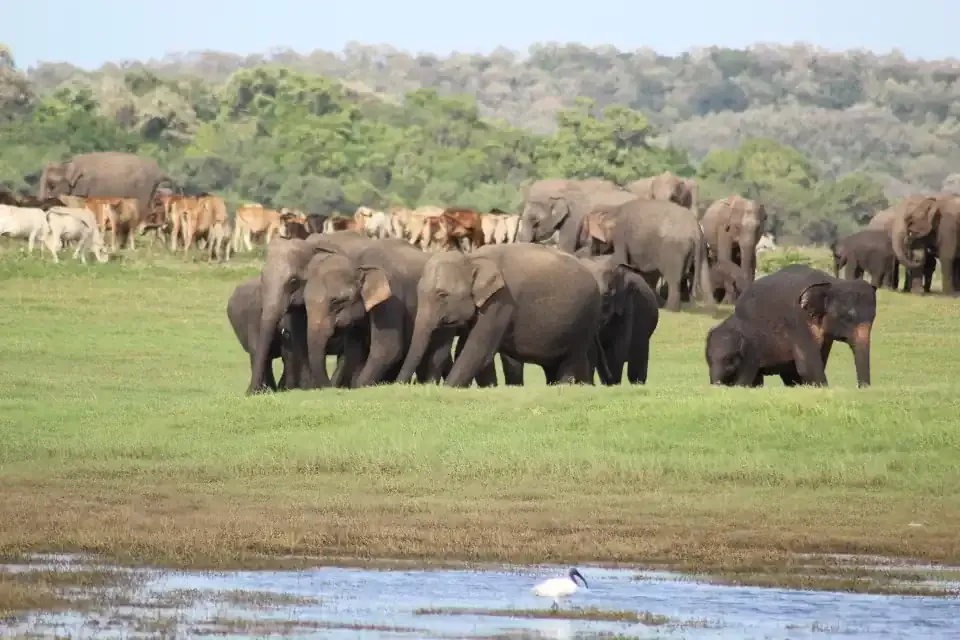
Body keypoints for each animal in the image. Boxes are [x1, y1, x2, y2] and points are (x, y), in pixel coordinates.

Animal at [38, 152, 173, 225]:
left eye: (52, 185)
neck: (68, 163)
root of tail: (159, 171)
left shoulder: (87, 185)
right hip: (151, 188)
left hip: (144, 186)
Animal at [300, 235, 452, 389]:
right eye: (305, 302)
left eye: (337, 301)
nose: (329, 386)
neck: (358, 260)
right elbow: (354, 351)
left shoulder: (392, 300)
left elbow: (387, 348)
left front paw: (360, 386)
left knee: (436, 353)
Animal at [395, 244, 605, 388]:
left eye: (442, 295)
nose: (398, 385)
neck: (472, 258)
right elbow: (467, 348)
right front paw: (489, 387)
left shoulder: (501, 302)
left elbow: (477, 350)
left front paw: (449, 388)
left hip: (585, 318)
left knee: (571, 359)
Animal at [583, 198, 715, 313]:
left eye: (594, 238)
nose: (593, 252)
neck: (613, 209)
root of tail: (695, 228)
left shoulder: (620, 235)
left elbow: (620, 259)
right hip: (702, 246)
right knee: (705, 275)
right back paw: (710, 311)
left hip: (674, 248)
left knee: (674, 278)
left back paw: (670, 309)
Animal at [706, 264, 877, 388]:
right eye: (846, 318)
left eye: (873, 319)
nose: (863, 388)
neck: (831, 283)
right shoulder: (797, 322)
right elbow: (808, 366)